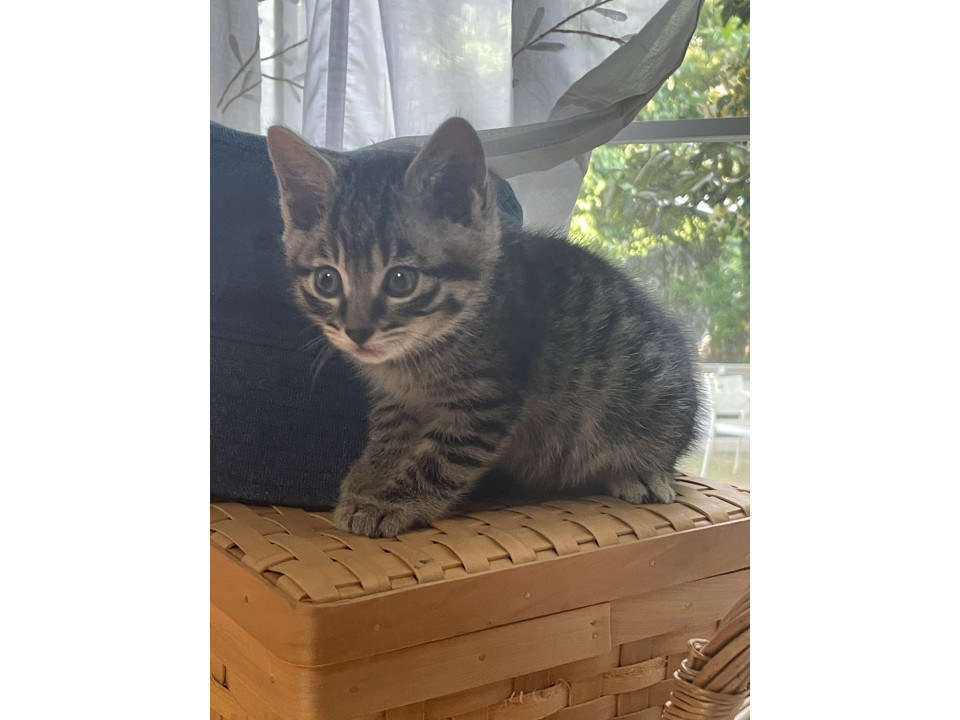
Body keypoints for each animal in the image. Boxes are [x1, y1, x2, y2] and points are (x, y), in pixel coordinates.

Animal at [266, 117, 704, 538]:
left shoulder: (488, 400)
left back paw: (642, 472)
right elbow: (388, 438)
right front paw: (364, 483)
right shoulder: (397, 400)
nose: (356, 332)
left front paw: (393, 502)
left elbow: (441, 459)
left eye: (401, 281)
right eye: (327, 280)